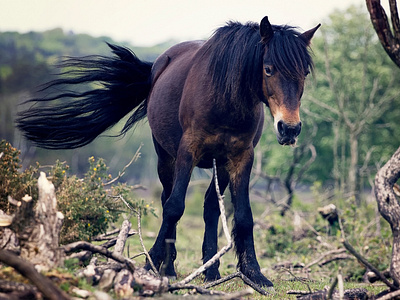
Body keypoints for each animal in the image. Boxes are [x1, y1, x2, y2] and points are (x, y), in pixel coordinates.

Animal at [18, 17, 318, 288]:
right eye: (268, 69)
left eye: (304, 73)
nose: (289, 128)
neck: (225, 99)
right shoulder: (188, 151)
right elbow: (174, 207)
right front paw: (150, 263)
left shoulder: (241, 157)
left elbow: (244, 215)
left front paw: (255, 274)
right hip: (166, 157)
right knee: (167, 199)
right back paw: (169, 267)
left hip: (219, 164)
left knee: (210, 206)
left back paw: (211, 270)